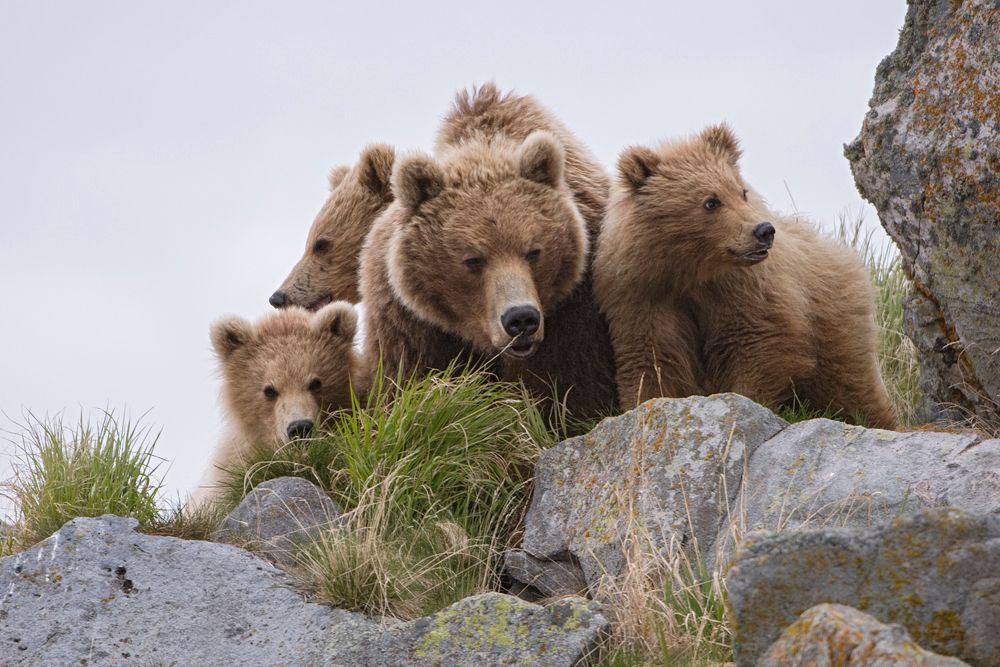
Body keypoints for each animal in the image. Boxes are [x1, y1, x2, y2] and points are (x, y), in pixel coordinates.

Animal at [360, 82, 616, 418]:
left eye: (534, 251)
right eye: (473, 259)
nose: (521, 319)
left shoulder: (575, 312)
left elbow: (573, 389)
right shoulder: (412, 323)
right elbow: (408, 383)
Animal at [592, 124, 900, 428]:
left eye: (741, 192)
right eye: (711, 202)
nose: (764, 230)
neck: (691, 270)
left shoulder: (743, 289)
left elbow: (756, 342)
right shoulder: (644, 295)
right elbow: (653, 357)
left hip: (834, 322)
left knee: (850, 383)